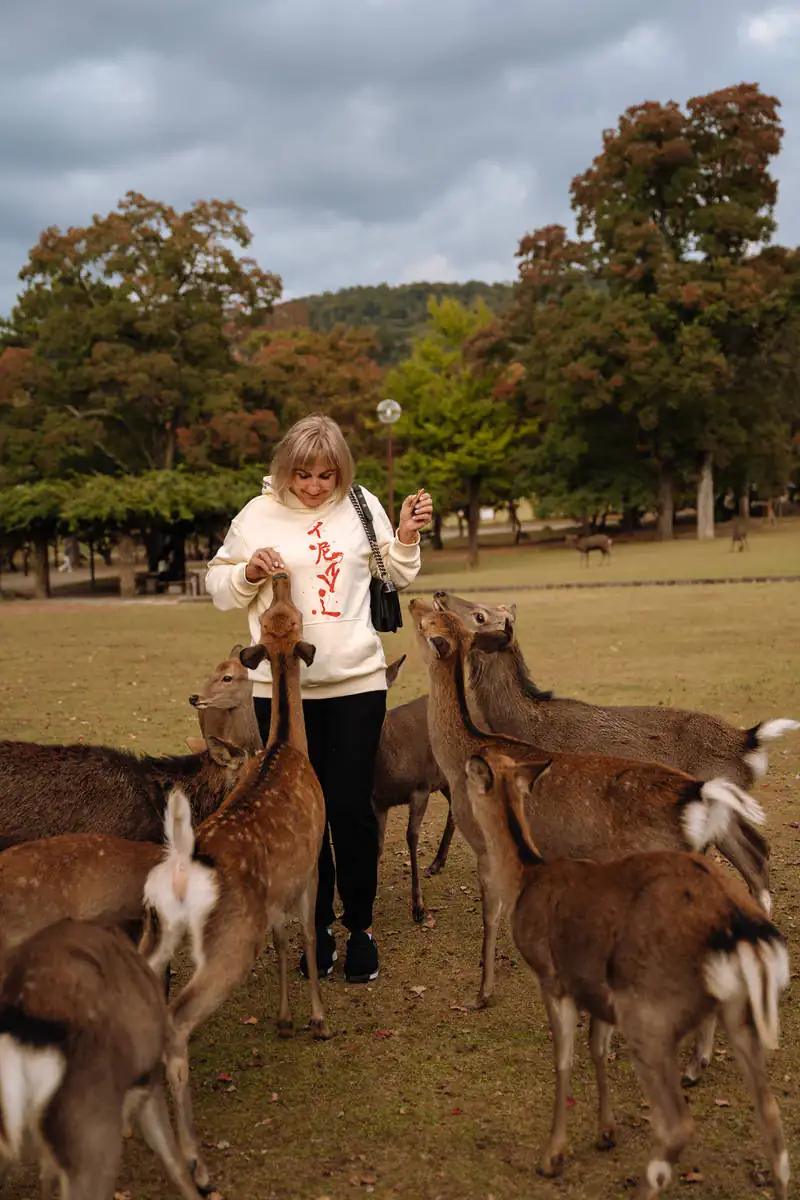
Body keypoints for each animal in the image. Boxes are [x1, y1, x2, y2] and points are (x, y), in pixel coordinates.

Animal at [142, 571, 331, 1190]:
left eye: (279, 615)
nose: (278, 575)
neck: (287, 746)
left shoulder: (273, 893)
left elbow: (282, 942)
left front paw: (285, 1020)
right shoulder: (310, 864)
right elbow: (308, 936)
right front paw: (316, 1021)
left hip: (152, 936)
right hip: (227, 942)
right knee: (175, 1021)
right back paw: (196, 1165)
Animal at [465, 748, 791, 1200]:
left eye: (474, 768)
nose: (470, 758)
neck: (528, 875)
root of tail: (741, 930)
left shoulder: (553, 977)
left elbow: (563, 1059)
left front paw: (552, 1157)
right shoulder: (601, 990)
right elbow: (597, 1047)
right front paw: (605, 1132)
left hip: (651, 1019)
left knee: (676, 1125)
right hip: (738, 1015)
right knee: (774, 1124)